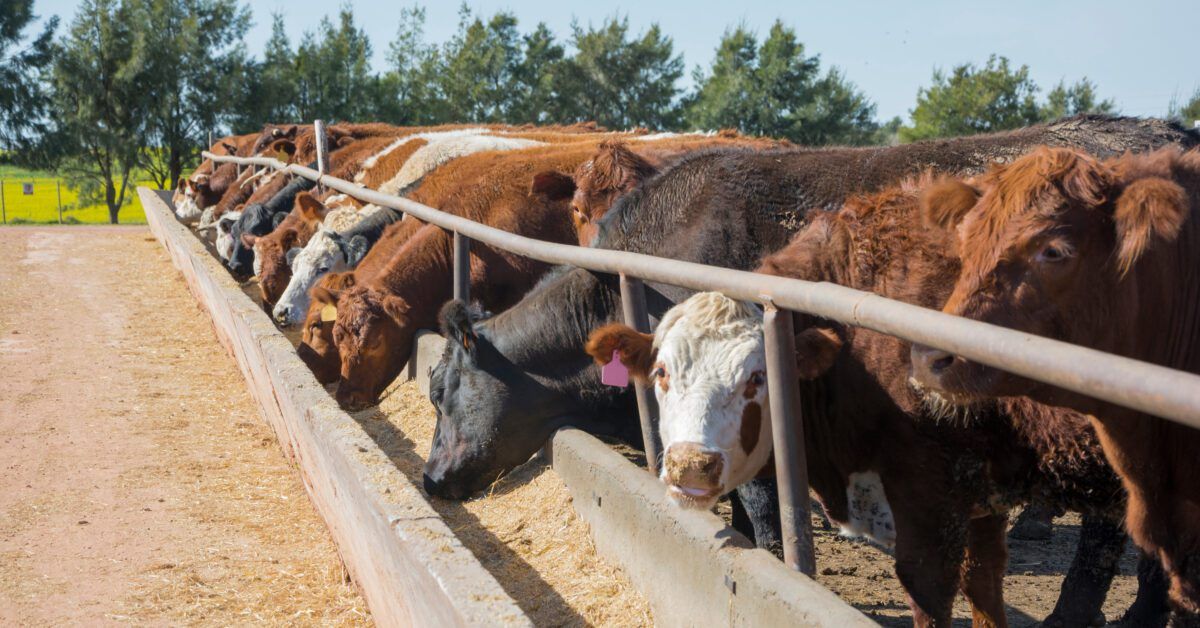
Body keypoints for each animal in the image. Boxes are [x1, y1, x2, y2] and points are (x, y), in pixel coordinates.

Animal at [585, 180, 1167, 626]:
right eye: (662, 373)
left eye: (757, 378)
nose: (690, 465)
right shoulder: (983, 497)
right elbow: (984, 586)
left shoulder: (931, 505)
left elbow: (932, 597)